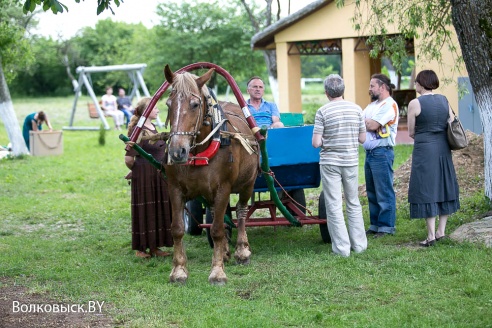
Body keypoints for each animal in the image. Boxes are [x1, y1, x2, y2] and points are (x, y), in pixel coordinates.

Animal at [164, 66, 260, 284]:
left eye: (195, 104)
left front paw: (217, 272)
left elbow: (216, 230)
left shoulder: (223, 188)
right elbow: (178, 228)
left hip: (248, 184)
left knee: (241, 212)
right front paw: (179, 270)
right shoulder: (174, 189)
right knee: (218, 214)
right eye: (168, 104)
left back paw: (241, 250)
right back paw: (224, 251)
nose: (177, 152)